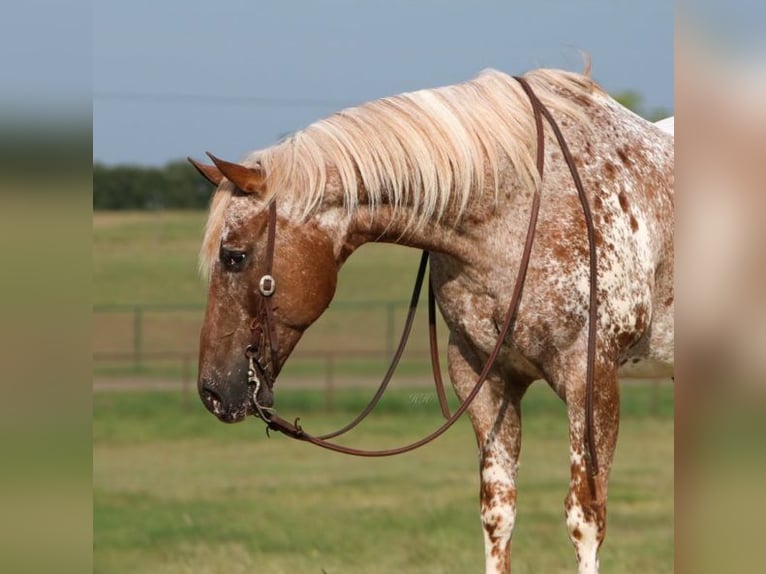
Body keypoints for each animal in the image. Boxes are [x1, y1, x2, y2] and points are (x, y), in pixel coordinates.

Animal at [192, 68, 680, 574]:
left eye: (233, 256)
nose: (213, 390)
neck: (526, 205)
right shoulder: (484, 379)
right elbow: (498, 512)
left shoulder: (591, 381)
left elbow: (585, 516)